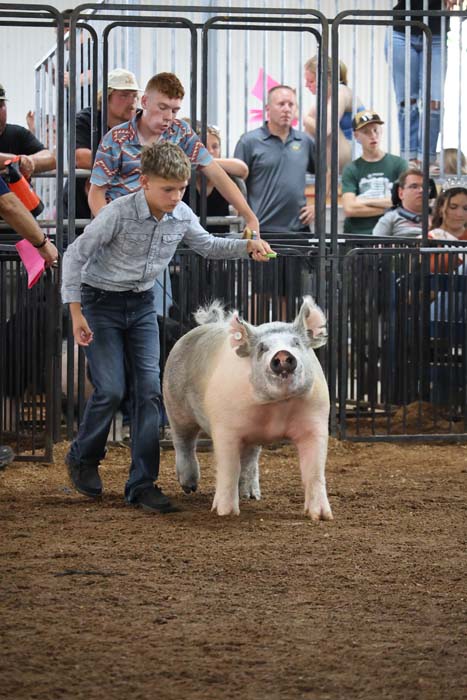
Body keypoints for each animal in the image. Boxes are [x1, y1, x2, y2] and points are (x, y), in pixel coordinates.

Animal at [163, 296, 333, 521]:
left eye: (296, 343)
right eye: (262, 348)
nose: (283, 356)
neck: (277, 407)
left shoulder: (316, 422)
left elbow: (314, 470)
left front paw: (322, 516)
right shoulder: (225, 427)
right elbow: (228, 469)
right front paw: (225, 513)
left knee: (250, 457)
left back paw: (251, 496)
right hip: (174, 405)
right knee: (184, 442)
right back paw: (189, 487)